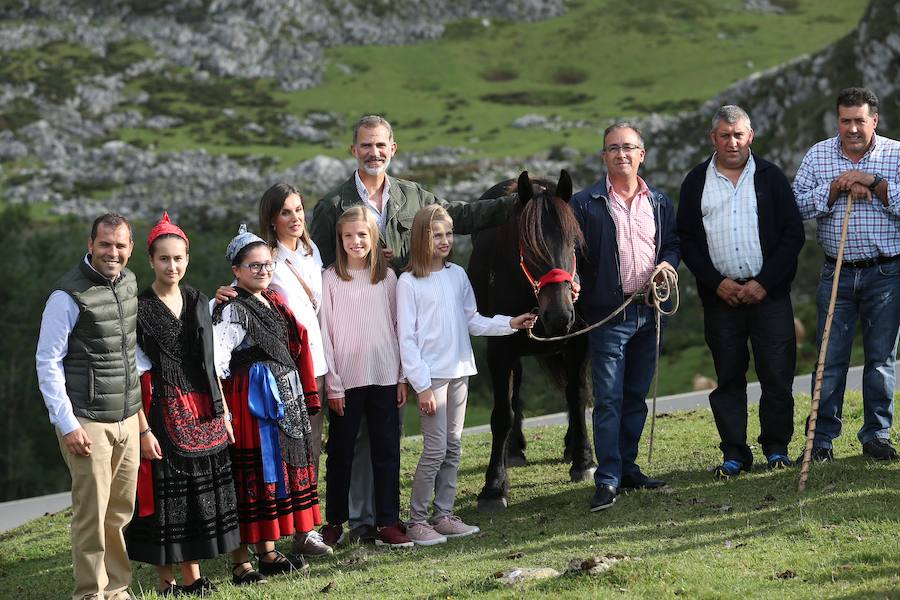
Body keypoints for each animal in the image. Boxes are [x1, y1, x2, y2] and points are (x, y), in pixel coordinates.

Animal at [468, 169, 596, 510]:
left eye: (574, 243)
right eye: (526, 247)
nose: (559, 315)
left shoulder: (580, 339)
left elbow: (577, 395)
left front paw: (583, 460)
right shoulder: (500, 349)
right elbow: (502, 413)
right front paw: (494, 486)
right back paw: (513, 450)